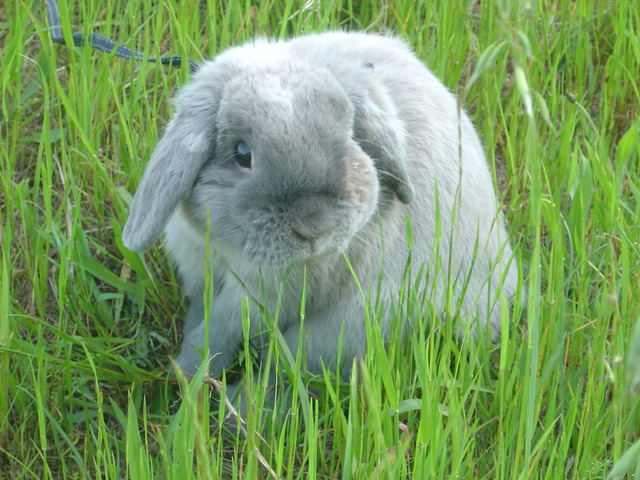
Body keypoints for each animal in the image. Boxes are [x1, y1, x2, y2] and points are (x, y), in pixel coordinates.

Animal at [122, 31, 520, 388]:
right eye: (241, 153)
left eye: (351, 136)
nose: (313, 226)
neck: (228, 251)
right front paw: (187, 374)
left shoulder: (259, 298)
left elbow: (219, 332)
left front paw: (186, 376)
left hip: (343, 328)